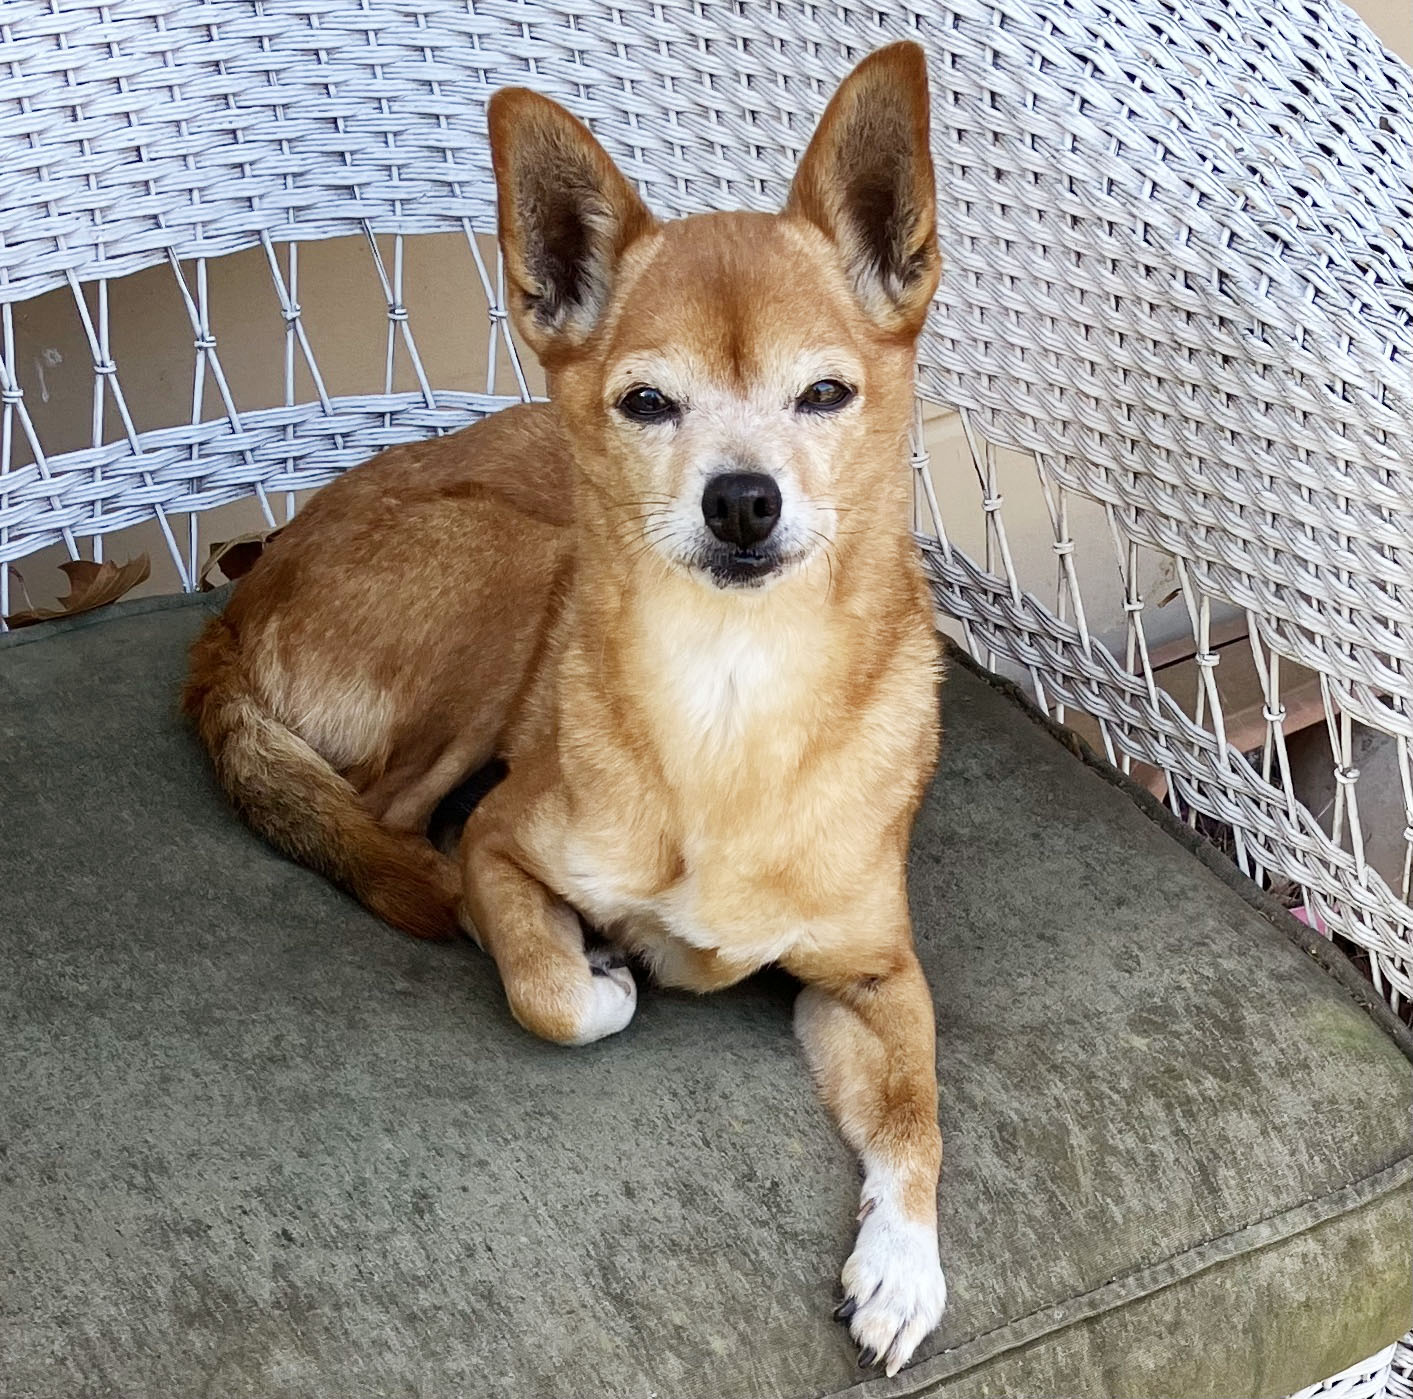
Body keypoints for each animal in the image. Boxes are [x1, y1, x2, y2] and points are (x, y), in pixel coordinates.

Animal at [179, 43, 949, 1379]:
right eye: (646, 404)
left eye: (825, 393)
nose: (741, 500)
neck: (732, 693)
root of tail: (241, 594)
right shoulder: (507, 841)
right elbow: (551, 997)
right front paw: (593, 966)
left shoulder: (876, 971)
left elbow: (919, 1111)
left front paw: (904, 1264)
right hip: (525, 567)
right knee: (390, 821)